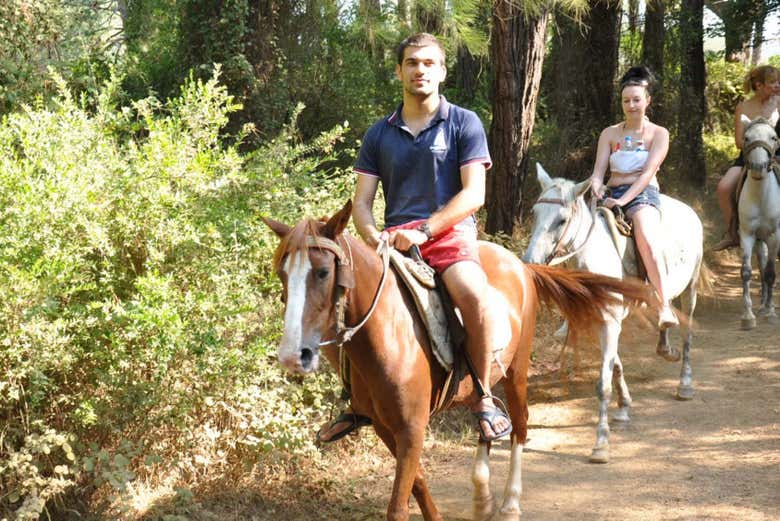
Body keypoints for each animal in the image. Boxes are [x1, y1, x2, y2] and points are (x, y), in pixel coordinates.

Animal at [264, 200, 652, 520]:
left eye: (322, 272)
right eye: (283, 274)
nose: (292, 355)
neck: (386, 333)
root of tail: (520, 265)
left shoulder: (412, 427)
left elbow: (398, 506)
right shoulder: (385, 427)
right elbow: (418, 484)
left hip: (517, 371)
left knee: (520, 427)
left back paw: (510, 503)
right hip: (483, 381)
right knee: (486, 419)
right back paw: (482, 495)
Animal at [520, 164, 704, 464]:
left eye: (561, 220)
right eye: (535, 213)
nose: (529, 263)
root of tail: (690, 210)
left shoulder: (609, 323)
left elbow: (602, 384)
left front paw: (601, 444)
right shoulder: (602, 321)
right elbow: (615, 365)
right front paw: (624, 407)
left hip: (692, 287)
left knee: (687, 334)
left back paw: (684, 384)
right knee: (664, 318)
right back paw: (666, 349)